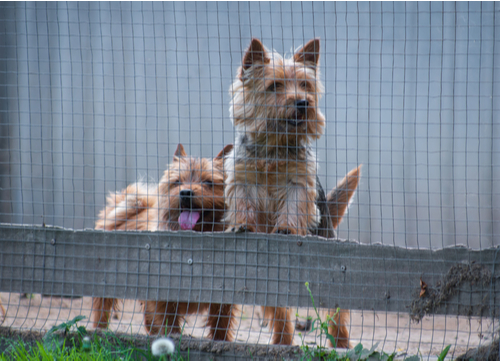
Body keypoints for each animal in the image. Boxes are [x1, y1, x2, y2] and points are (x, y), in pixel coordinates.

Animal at [92, 143, 238, 340]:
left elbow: (220, 328)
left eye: (208, 182)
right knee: (102, 312)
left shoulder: (223, 301)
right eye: (177, 182)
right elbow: (170, 324)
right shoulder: (164, 298)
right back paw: (98, 332)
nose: (185, 193)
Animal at [223, 37, 356, 346]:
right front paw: (241, 225)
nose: (303, 102)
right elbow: (243, 204)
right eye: (275, 86)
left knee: (338, 314)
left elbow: (293, 207)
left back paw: (343, 345)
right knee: (281, 312)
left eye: (305, 85)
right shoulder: (242, 179)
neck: (275, 143)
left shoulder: (298, 183)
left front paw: (286, 229)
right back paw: (282, 342)